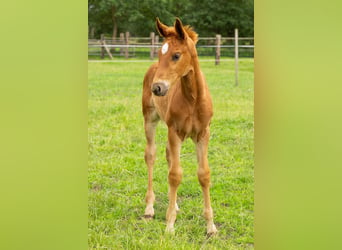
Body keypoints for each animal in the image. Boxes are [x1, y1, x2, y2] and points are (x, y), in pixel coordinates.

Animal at [143, 18, 218, 236]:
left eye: (176, 55)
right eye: (160, 54)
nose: (157, 88)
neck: (193, 100)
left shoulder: (203, 134)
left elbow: (204, 174)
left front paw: (211, 227)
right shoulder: (175, 131)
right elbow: (175, 175)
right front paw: (169, 226)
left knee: (168, 155)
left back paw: (173, 204)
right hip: (150, 120)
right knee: (151, 155)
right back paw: (149, 208)